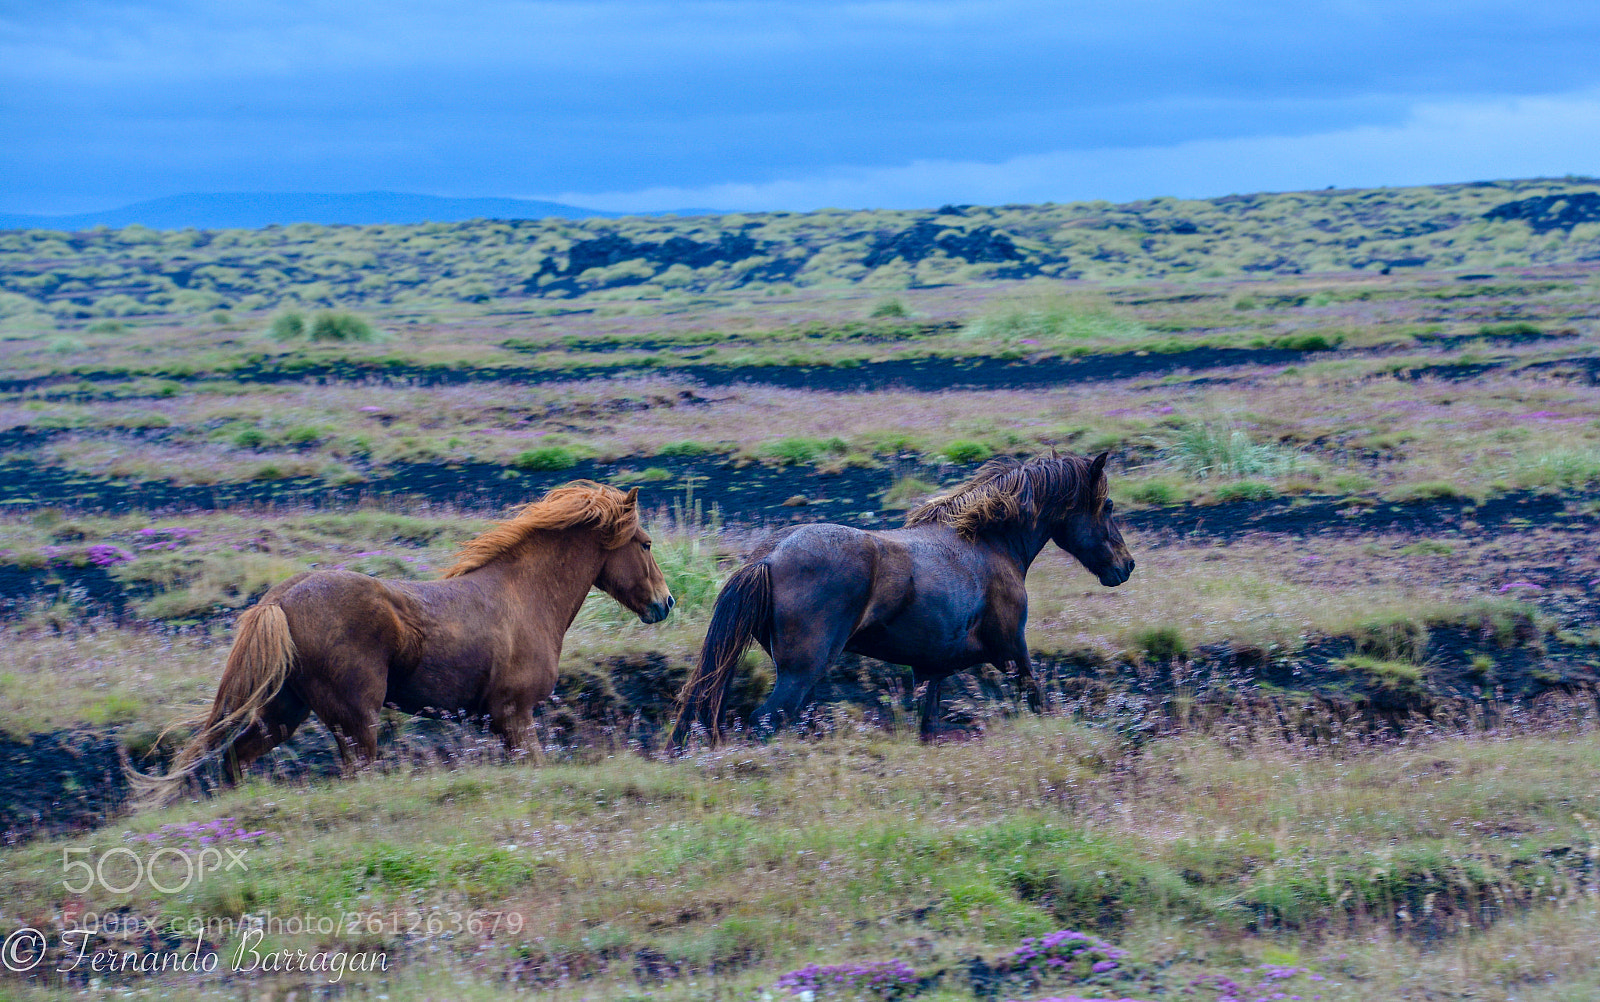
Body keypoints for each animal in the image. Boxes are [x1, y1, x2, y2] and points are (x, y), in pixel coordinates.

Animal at [136, 482, 674, 804]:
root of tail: (281, 600)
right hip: (356, 722)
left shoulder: (501, 722)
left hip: (284, 712)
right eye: (645, 543)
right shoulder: (515, 715)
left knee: (234, 758)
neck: (523, 595)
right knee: (352, 775)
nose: (665, 603)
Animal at [671, 453, 1133, 744]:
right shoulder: (1012, 650)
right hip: (802, 671)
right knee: (768, 721)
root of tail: (769, 556)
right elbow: (1036, 699)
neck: (987, 542)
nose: (1126, 566)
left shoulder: (934, 668)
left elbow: (929, 724)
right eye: (1108, 505)